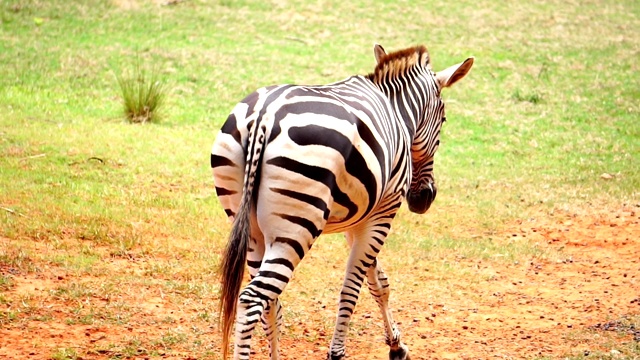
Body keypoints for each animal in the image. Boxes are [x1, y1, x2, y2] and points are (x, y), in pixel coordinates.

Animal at [210, 45, 470, 360]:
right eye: (443, 121)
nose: (424, 199)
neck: (395, 109)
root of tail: (263, 116)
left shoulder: (359, 220)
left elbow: (378, 283)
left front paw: (397, 345)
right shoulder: (382, 214)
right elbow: (351, 289)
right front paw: (339, 352)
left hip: (249, 227)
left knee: (270, 303)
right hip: (295, 230)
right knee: (253, 299)